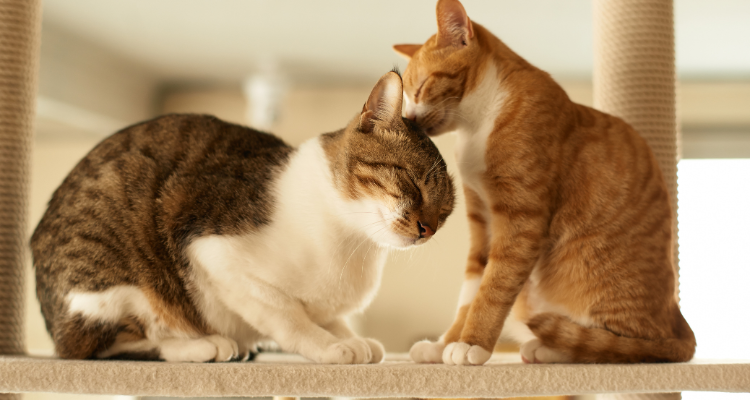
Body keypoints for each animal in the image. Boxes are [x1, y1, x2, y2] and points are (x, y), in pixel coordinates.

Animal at [32, 70, 456, 364]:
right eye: (414, 184)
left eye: (445, 212)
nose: (427, 229)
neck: (354, 241)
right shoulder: (215, 256)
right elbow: (290, 318)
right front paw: (331, 346)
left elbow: (327, 318)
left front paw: (349, 337)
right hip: (118, 286)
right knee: (101, 346)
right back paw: (203, 345)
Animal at [396, 0, 696, 364]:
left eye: (422, 86)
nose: (410, 118)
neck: (477, 124)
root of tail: (680, 323)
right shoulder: (481, 222)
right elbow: (470, 290)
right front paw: (443, 345)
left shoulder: (522, 223)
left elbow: (492, 288)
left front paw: (471, 344)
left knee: (614, 347)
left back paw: (550, 348)